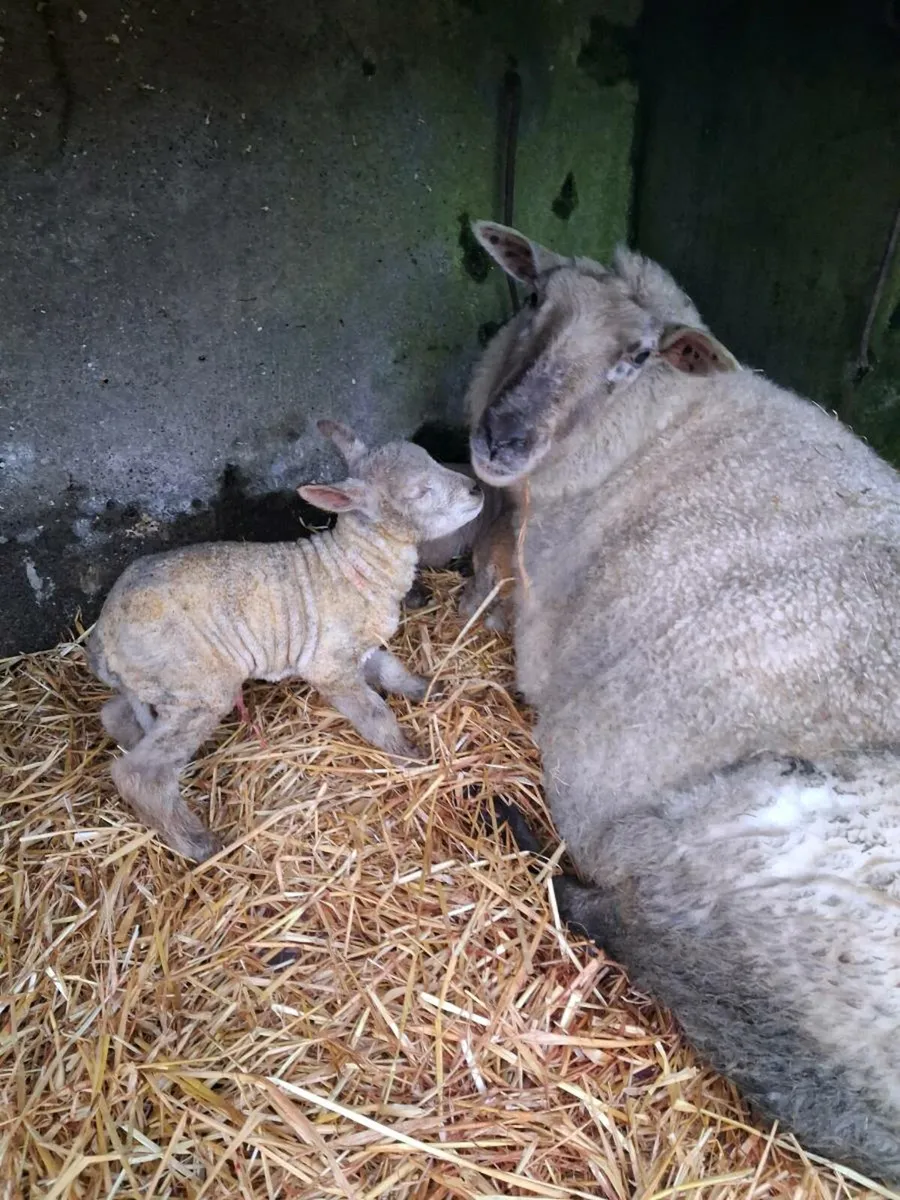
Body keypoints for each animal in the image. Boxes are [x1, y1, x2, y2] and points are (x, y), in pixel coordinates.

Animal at [86, 420, 483, 862]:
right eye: (419, 491)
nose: (476, 490)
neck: (355, 563)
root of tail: (103, 642)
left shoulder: (354, 648)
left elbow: (391, 670)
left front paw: (426, 688)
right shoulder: (328, 665)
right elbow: (374, 712)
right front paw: (407, 754)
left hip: (161, 683)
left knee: (116, 714)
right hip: (197, 683)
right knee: (140, 772)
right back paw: (197, 843)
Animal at [465, 219, 900, 1186]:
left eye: (633, 359)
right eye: (533, 298)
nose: (499, 439)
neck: (662, 425)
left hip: (732, 861)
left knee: (623, 915)